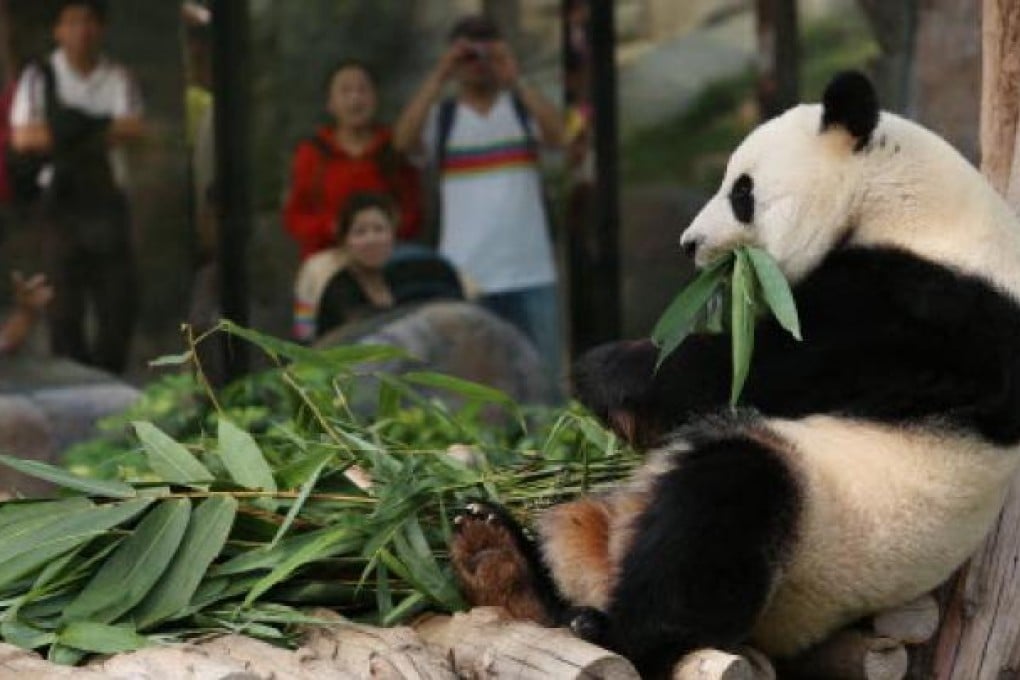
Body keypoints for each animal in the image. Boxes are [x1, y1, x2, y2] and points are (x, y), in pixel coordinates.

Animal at [450, 71, 1020, 676]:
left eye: (741, 193)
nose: (689, 244)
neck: (911, 206)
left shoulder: (924, 313)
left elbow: (750, 369)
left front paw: (601, 370)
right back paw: (499, 555)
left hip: (816, 540)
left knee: (721, 514)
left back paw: (598, 624)